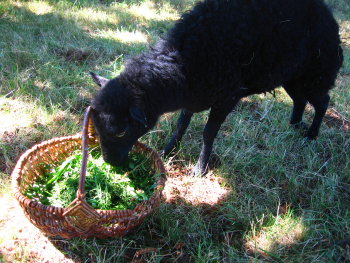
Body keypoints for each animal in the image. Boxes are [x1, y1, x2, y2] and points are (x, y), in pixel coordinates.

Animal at [89, 0, 342, 177]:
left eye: (121, 131)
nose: (110, 163)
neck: (184, 63)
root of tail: (327, 12)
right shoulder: (194, 96)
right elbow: (181, 125)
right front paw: (168, 151)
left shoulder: (226, 98)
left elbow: (208, 133)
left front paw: (200, 168)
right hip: (292, 77)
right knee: (300, 100)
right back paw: (295, 125)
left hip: (316, 74)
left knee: (322, 102)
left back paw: (311, 135)